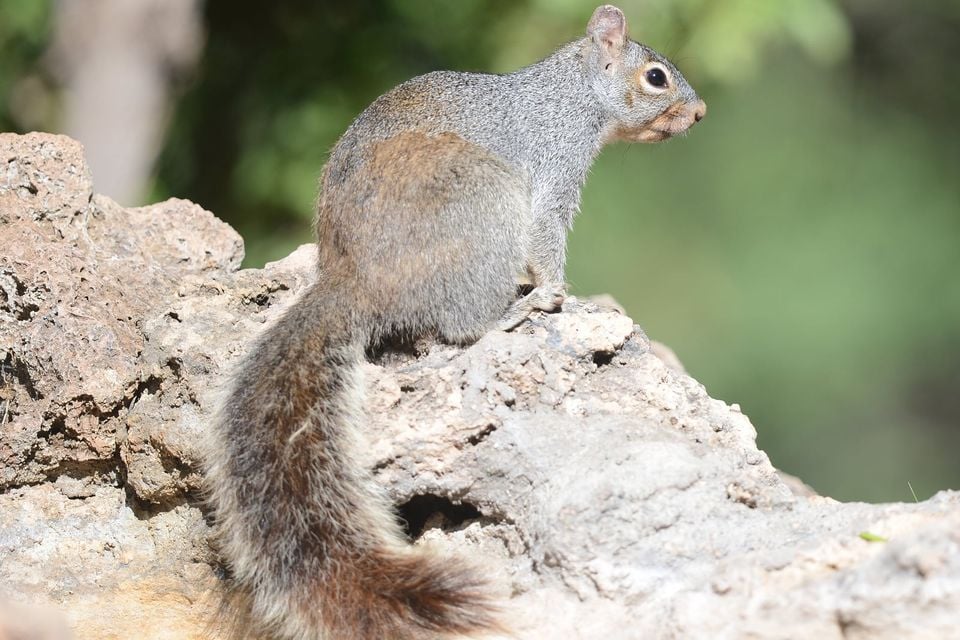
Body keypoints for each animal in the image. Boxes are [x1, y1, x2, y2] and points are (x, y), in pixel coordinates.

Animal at [204, 5, 705, 640]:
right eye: (656, 77)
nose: (700, 112)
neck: (572, 90)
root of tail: (356, 282)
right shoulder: (554, 162)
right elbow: (546, 236)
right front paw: (555, 294)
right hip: (483, 200)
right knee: (461, 327)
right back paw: (509, 316)